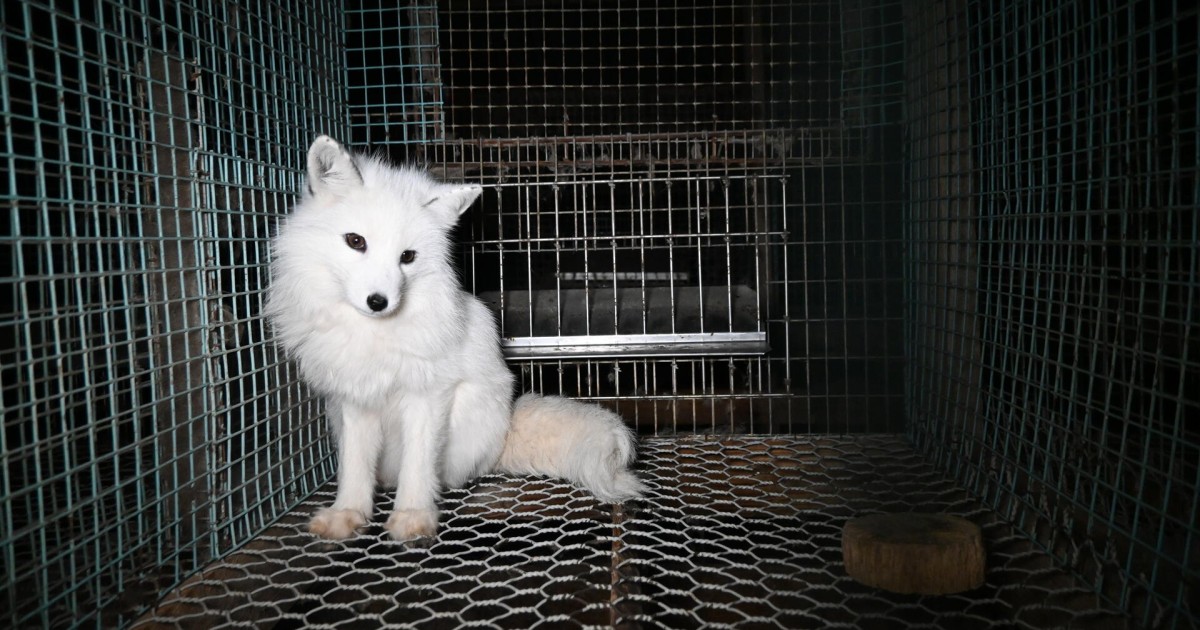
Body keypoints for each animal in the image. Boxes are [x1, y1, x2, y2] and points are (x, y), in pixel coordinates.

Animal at [264, 136, 644, 541]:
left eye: (407, 256)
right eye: (355, 241)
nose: (379, 302)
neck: (373, 334)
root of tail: (504, 429)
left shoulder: (428, 393)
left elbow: (418, 464)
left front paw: (413, 515)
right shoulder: (355, 398)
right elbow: (354, 466)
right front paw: (347, 513)